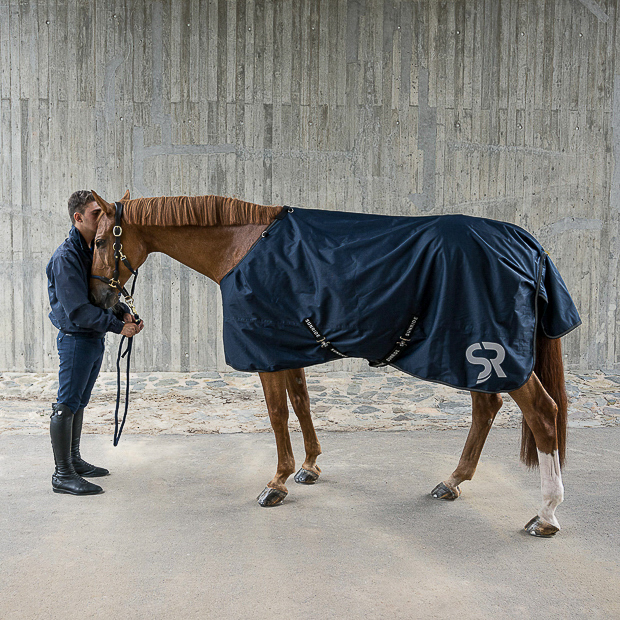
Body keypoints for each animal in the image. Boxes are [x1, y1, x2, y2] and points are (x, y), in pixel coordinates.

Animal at [88, 190, 580, 536]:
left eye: (101, 240)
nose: (98, 298)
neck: (243, 246)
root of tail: (526, 244)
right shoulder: (288, 347)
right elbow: (302, 404)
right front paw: (308, 467)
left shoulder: (266, 353)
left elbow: (277, 413)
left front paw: (277, 482)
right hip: (473, 357)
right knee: (487, 408)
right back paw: (452, 481)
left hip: (490, 355)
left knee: (543, 414)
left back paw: (546, 515)